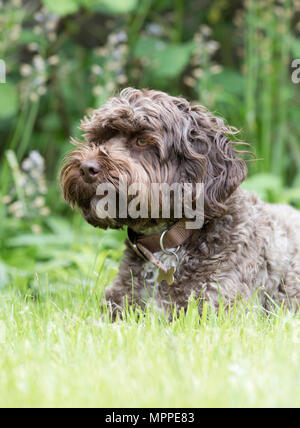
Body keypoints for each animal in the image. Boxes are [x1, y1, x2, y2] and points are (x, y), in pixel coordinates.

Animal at [60, 87, 300, 316]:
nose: (87, 168)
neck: (165, 243)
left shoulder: (221, 308)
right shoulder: (118, 305)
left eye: (142, 140)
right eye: (99, 138)